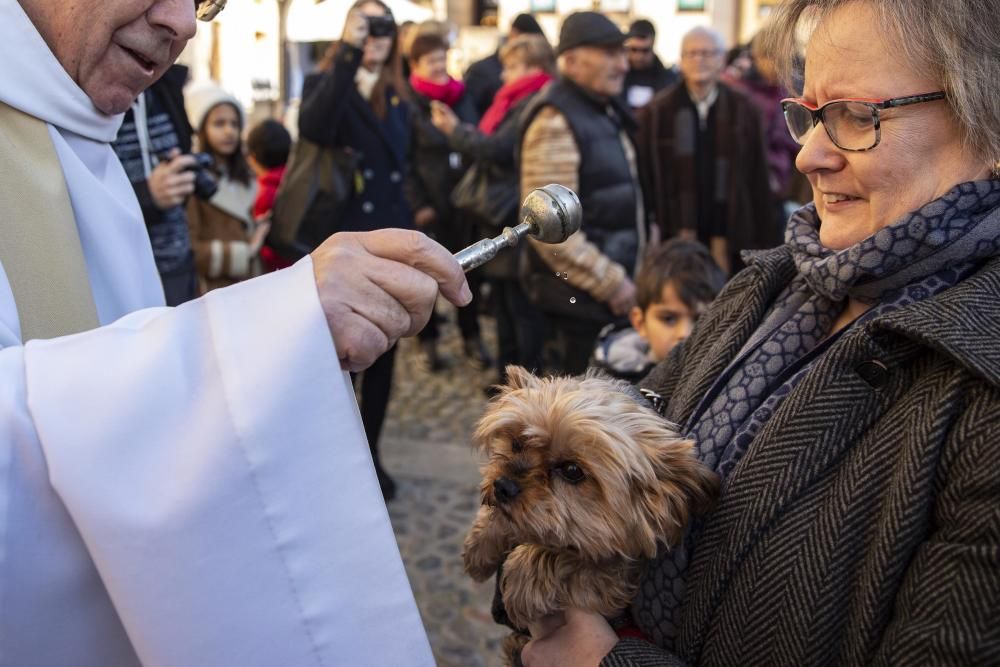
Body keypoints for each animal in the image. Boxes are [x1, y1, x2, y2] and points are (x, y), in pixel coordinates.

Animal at [460, 370, 720, 664]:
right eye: (516, 443)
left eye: (572, 470)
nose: (503, 486)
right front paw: (479, 546)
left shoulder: (618, 579)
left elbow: (578, 562)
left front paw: (525, 570)